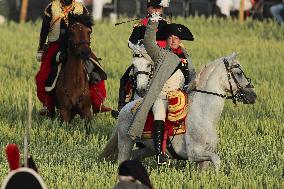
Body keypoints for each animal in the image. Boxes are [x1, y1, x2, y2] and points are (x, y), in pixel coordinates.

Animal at [101, 52, 256, 172]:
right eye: (239, 73)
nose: (253, 96)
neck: (204, 116)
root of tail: (124, 109)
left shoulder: (204, 159)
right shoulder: (194, 153)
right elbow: (217, 159)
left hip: (148, 148)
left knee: (135, 156)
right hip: (126, 142)